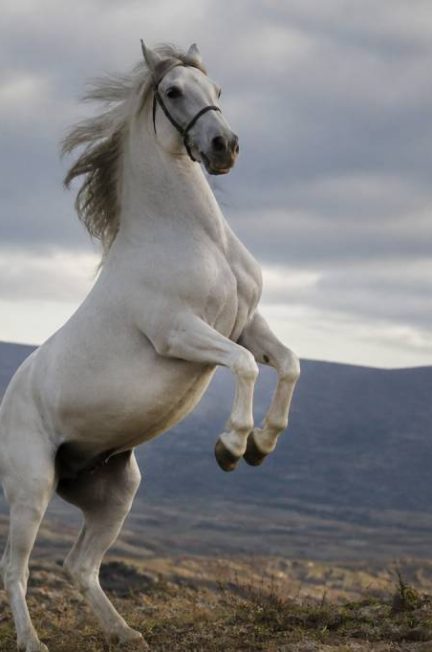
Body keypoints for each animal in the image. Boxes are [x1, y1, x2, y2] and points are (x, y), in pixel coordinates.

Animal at [0, 42, 300, 651]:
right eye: (172, 91)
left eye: (217, 90)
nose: (224, 146)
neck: (193, 237)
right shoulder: (180, 333)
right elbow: (245, 368)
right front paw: (231, 447)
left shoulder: (247, 323)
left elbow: (287, 364)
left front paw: (263, 445)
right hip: (32, 489)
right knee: (15, 568)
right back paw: (32, 641)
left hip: (114, 490)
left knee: (78, 565)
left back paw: (125, 633)